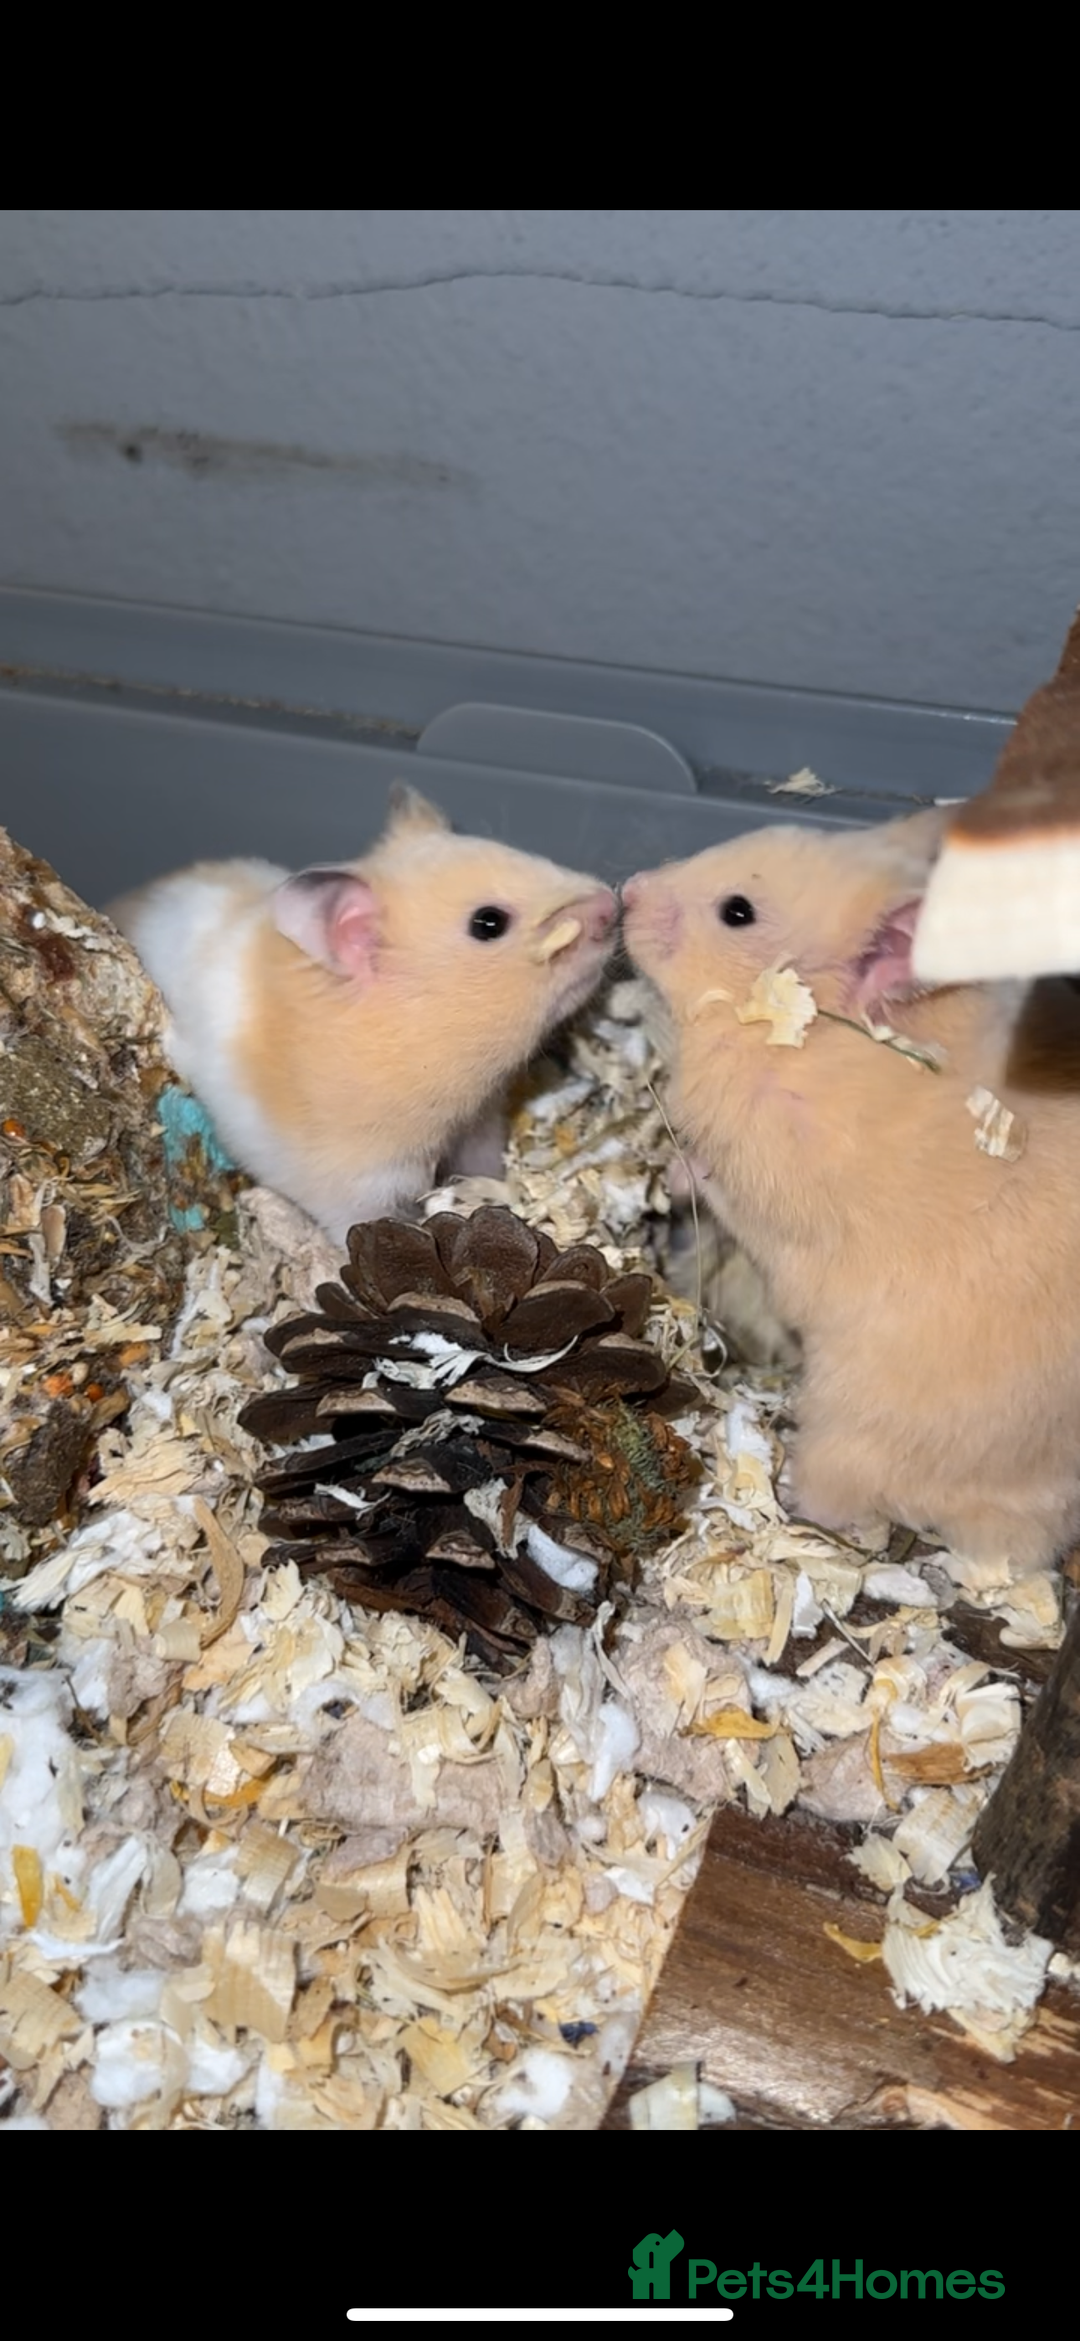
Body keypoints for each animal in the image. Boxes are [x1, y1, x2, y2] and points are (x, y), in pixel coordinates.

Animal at [623, 807, 1080, 1573]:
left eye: (738, 912)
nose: (625, 888)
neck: (804, 1039)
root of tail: (1030, 1534)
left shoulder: (777, 1188)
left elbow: (723, 1189)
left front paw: (683, 1168)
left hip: (851, 1427)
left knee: (841, 1490)